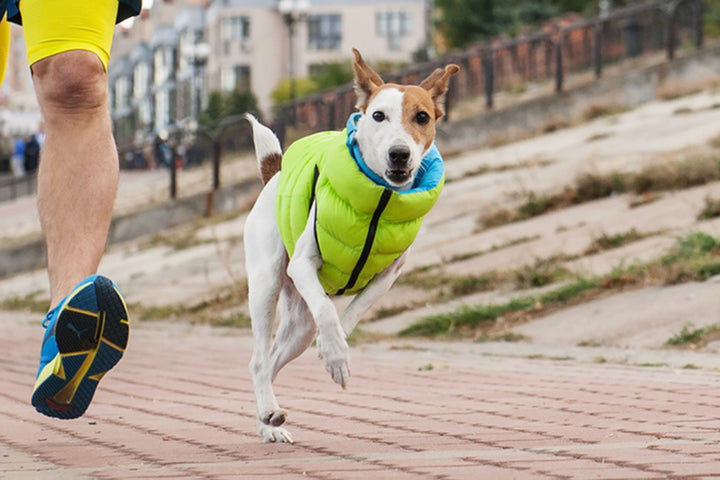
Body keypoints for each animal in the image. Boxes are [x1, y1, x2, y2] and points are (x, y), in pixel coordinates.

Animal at [245, 47, 458, 442]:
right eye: (378, 115)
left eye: (422, 117)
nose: (399, 154)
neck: (380, 200)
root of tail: (275, 173)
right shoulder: (303, 264)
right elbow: (328, 310)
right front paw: (336, 356)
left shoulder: (388, 276)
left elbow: (352, 313)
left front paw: (335, 348)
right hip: (266, 283)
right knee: (258, 360)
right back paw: (268, 410)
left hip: (299, 326)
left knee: (274, 360)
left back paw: (268, 423)